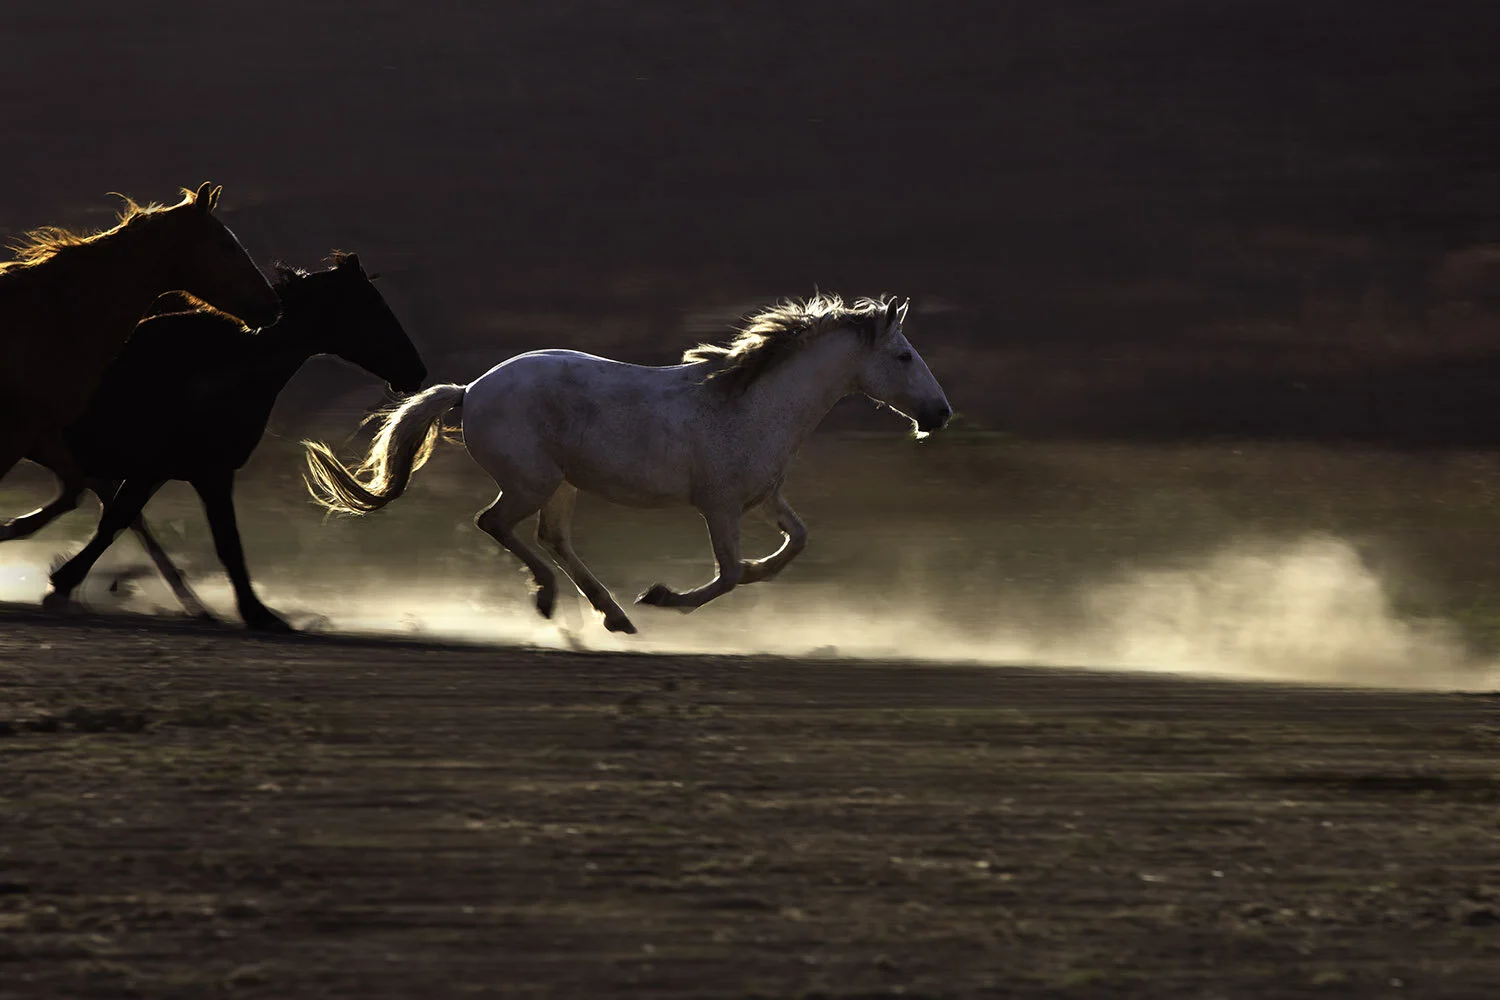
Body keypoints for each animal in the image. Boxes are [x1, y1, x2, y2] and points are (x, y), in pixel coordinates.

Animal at [1, 252, 426, 632]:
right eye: (372, 309)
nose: (417, 370)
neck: (219, 373)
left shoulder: (178, 473)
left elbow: (148, 526)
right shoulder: (192, 472)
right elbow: (153, 528)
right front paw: (259, 613)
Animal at [302, 294, 950, 634]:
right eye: (903, 355)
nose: (940, 414)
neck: (753, 405)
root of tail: (470, 390)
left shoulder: (764, 498)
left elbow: (794, 545)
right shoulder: (719, 507)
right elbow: (730, 573)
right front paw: (663, 596)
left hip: (561, 484)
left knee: (551, 537)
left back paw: (612, 615)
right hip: (532, 481)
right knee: (497, 524)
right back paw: (555, 600)